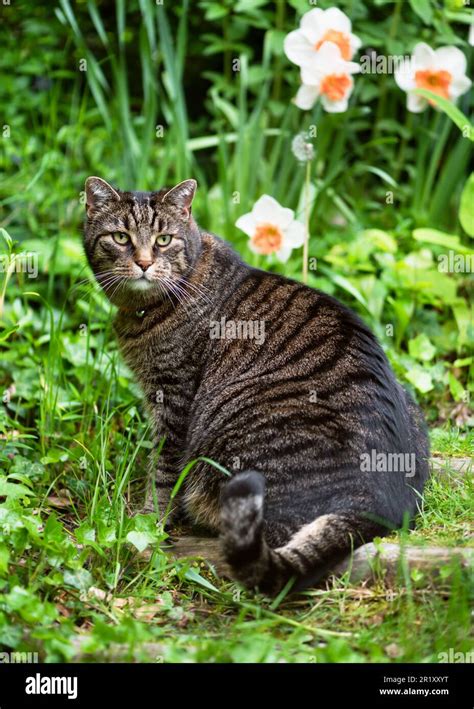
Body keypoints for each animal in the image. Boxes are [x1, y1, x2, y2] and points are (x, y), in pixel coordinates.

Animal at [83, 176, 432, 592]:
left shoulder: (174, 398)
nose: (144, 262)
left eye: (164, 240)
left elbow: (164, 474)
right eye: (121, 237)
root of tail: (376, 503)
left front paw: (145, 523)